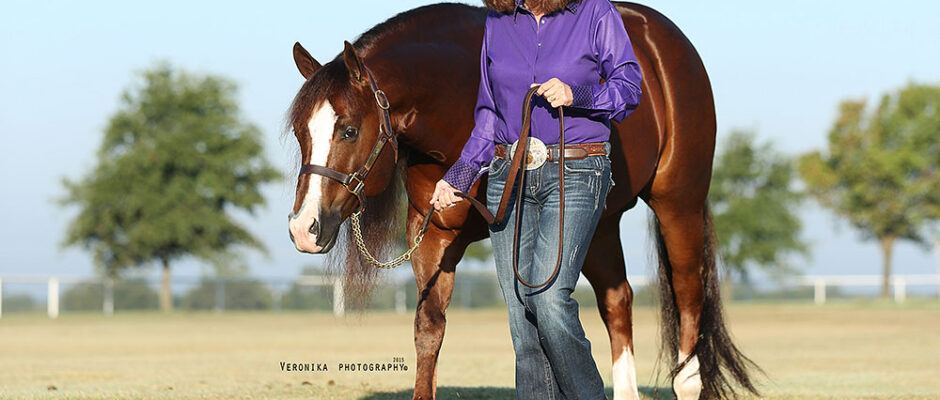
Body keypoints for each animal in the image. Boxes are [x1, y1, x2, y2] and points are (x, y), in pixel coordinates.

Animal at [285, 2, 758, 399]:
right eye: (301, 132)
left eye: (348, 129)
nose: (303, 229)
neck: (456, 103)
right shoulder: (433, 236)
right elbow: (429, 330)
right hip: (598, 225)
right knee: (618, 302)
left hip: (678, 204)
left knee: (688, 299)